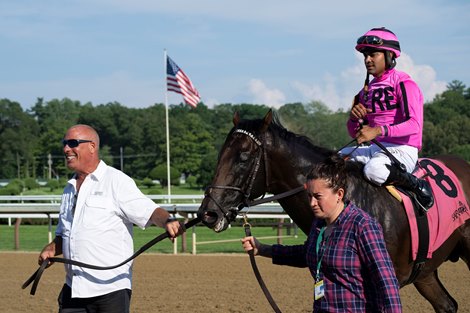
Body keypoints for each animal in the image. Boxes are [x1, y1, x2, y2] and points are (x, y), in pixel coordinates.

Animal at [197, 109, 470, 312]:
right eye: (220, 154)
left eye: (243, 157)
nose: (208, 213)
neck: (350, 196)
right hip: (426, 271)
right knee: (447, 304)